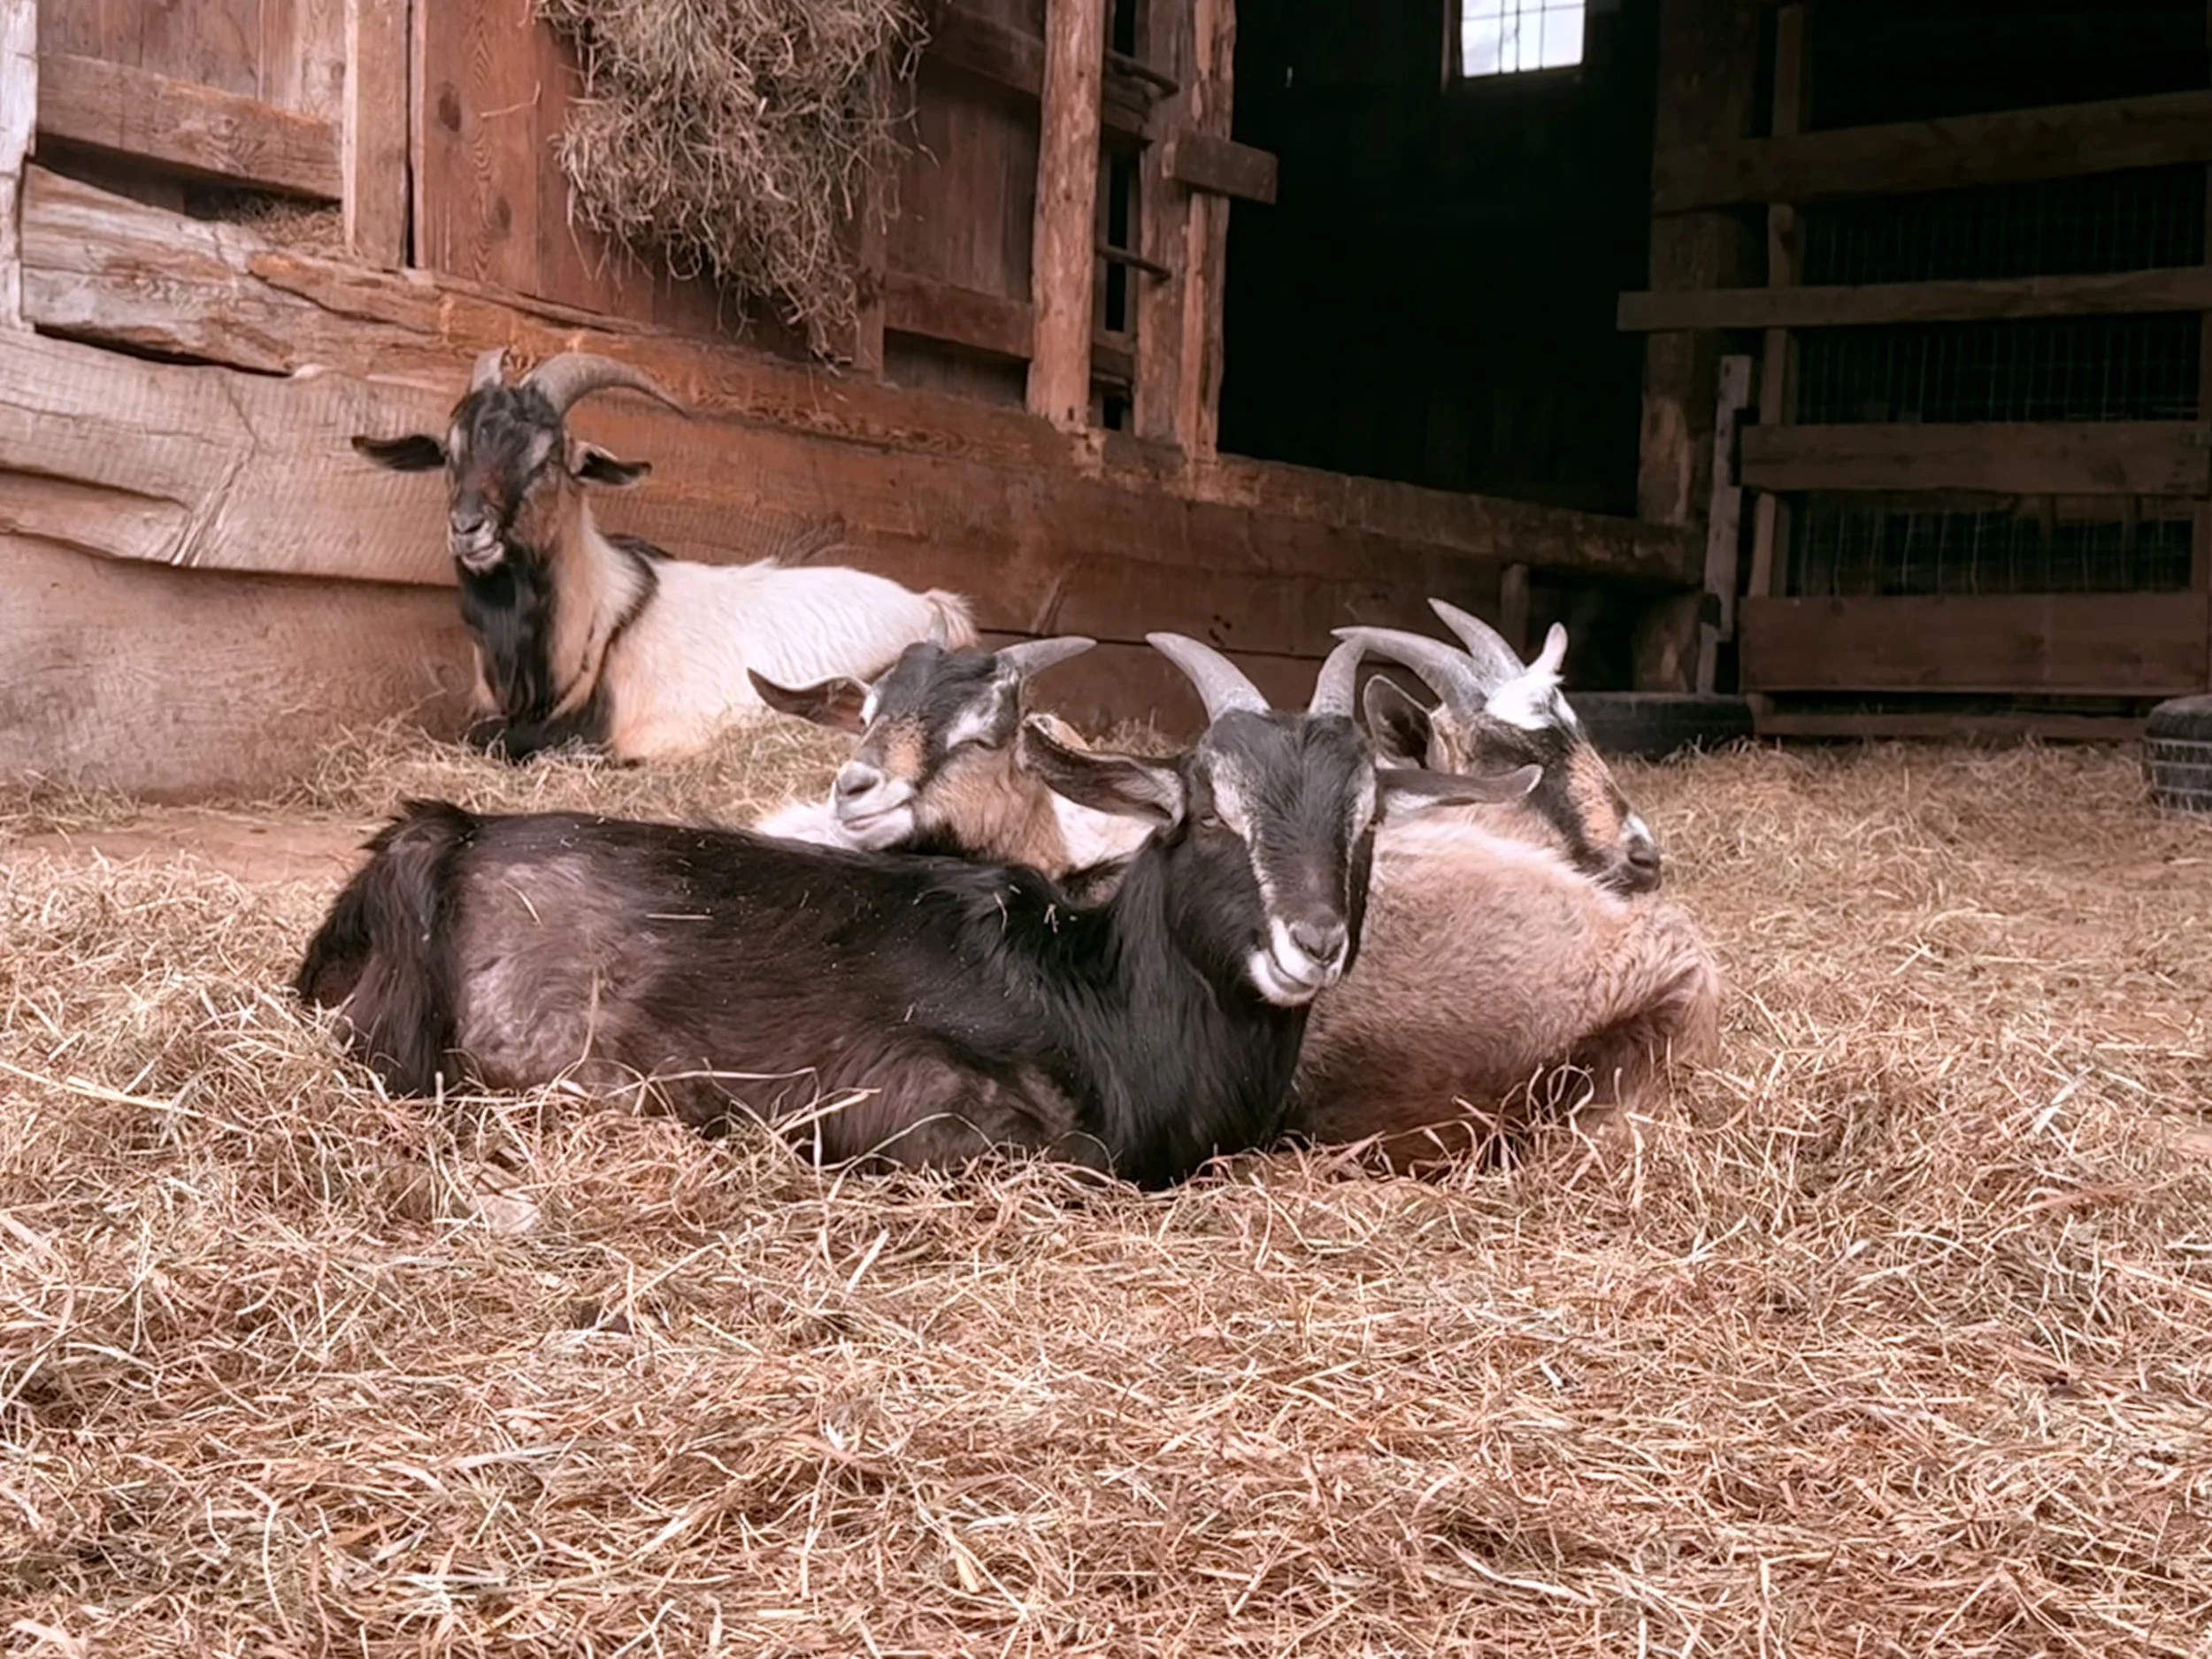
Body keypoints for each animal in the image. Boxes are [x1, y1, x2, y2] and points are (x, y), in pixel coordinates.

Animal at [291, 635, 1540, 1189]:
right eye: (1208, 814)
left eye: (1366, 822)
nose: (1312, 943)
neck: (1101, 986)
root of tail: (447, 833)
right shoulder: (914, 1102)